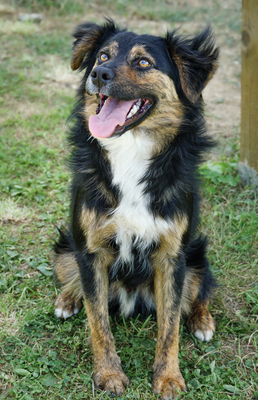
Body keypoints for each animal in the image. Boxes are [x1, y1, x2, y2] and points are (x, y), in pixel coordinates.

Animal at [53, 21, 219, 400]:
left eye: (143, 63)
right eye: (102, 56)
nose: (98, 74)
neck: (130, 149)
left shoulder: (172, 255)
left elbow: (169, 326)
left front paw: (168, 378)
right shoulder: (91, 250)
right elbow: (98, 321)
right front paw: (109, 375)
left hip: (196, 255)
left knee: (200, 291)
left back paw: (203, 321)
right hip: (66, 247)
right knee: (75, 282)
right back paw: (67, 300)